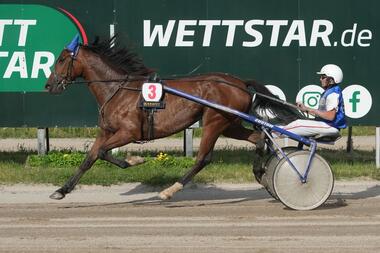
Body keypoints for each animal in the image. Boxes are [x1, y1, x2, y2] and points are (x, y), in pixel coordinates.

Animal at [45, 35, 302, 200]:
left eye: (61, 59)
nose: (49, 85)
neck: (117, 90)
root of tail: (239, 82)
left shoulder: (128, 132)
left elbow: (101, 152)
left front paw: (134, 160)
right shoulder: (106, 132)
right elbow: (89, 158)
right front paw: (61, 190)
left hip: (214, 121)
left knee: (203, 158)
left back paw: (170, 189)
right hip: (230, 123)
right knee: (259, 138)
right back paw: (259, 172)